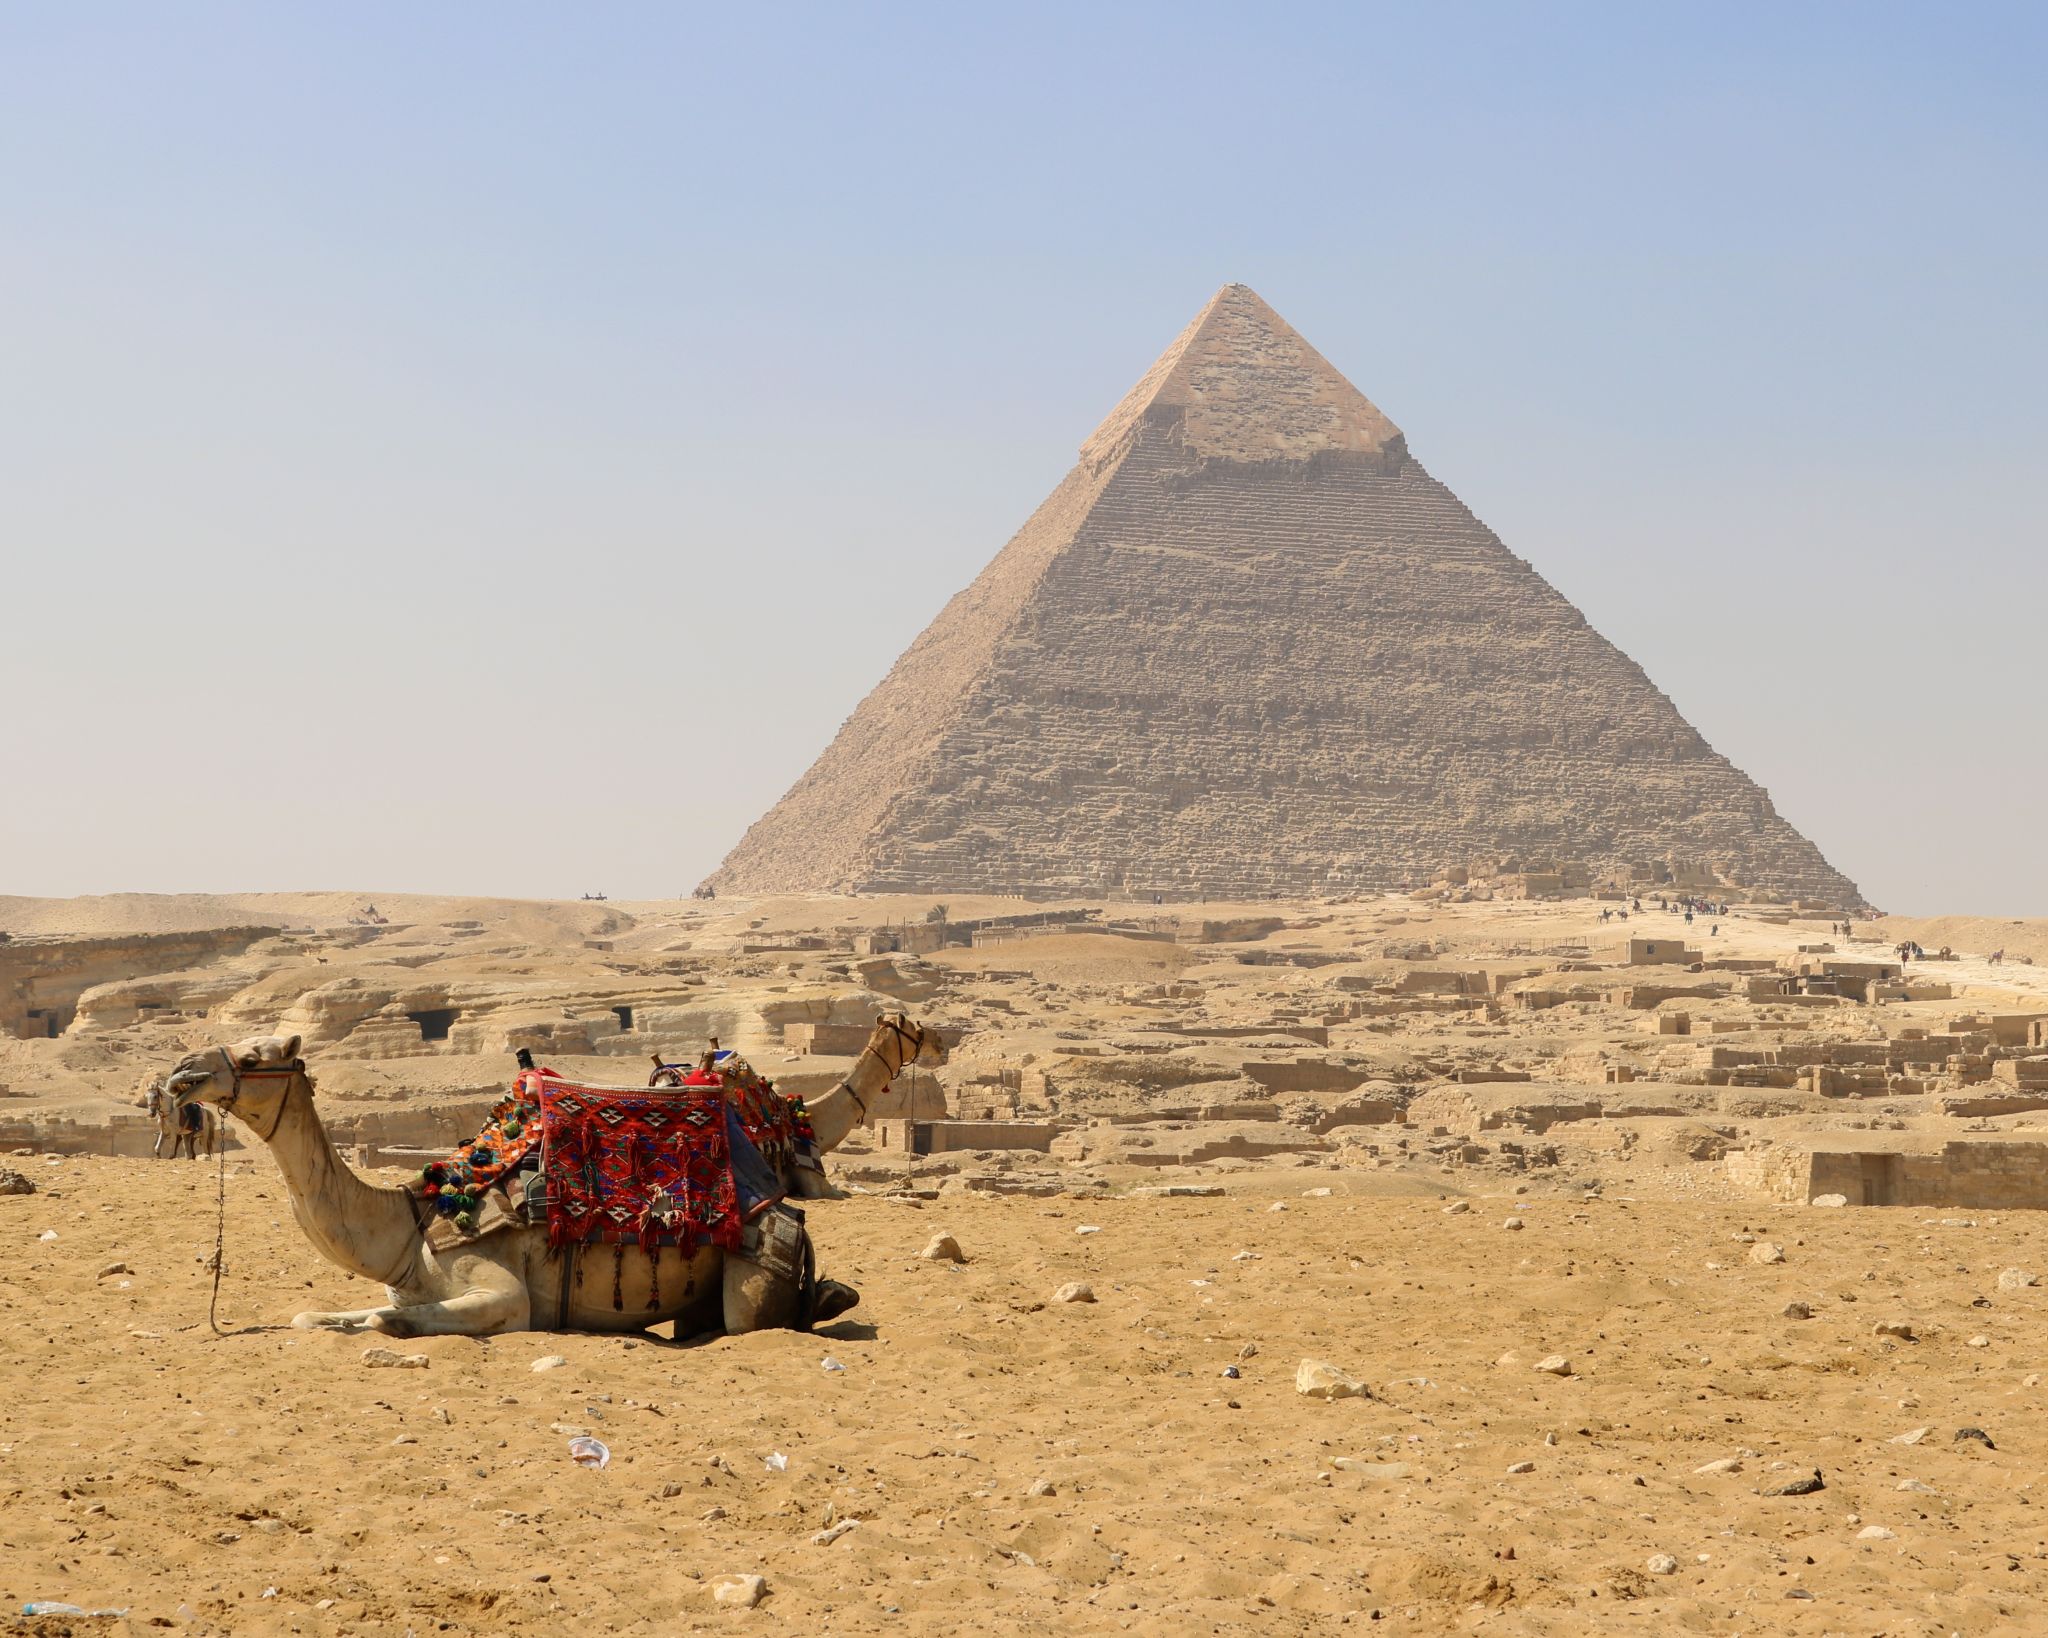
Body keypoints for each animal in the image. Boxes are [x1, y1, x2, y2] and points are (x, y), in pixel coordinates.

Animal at [158, 1014, 946, 1338]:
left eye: (256, 1055)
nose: (182, 1072)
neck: (412, 1223)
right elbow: (318, 1314)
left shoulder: (505, 1297)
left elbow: (392, 1321)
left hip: (750, 1285)